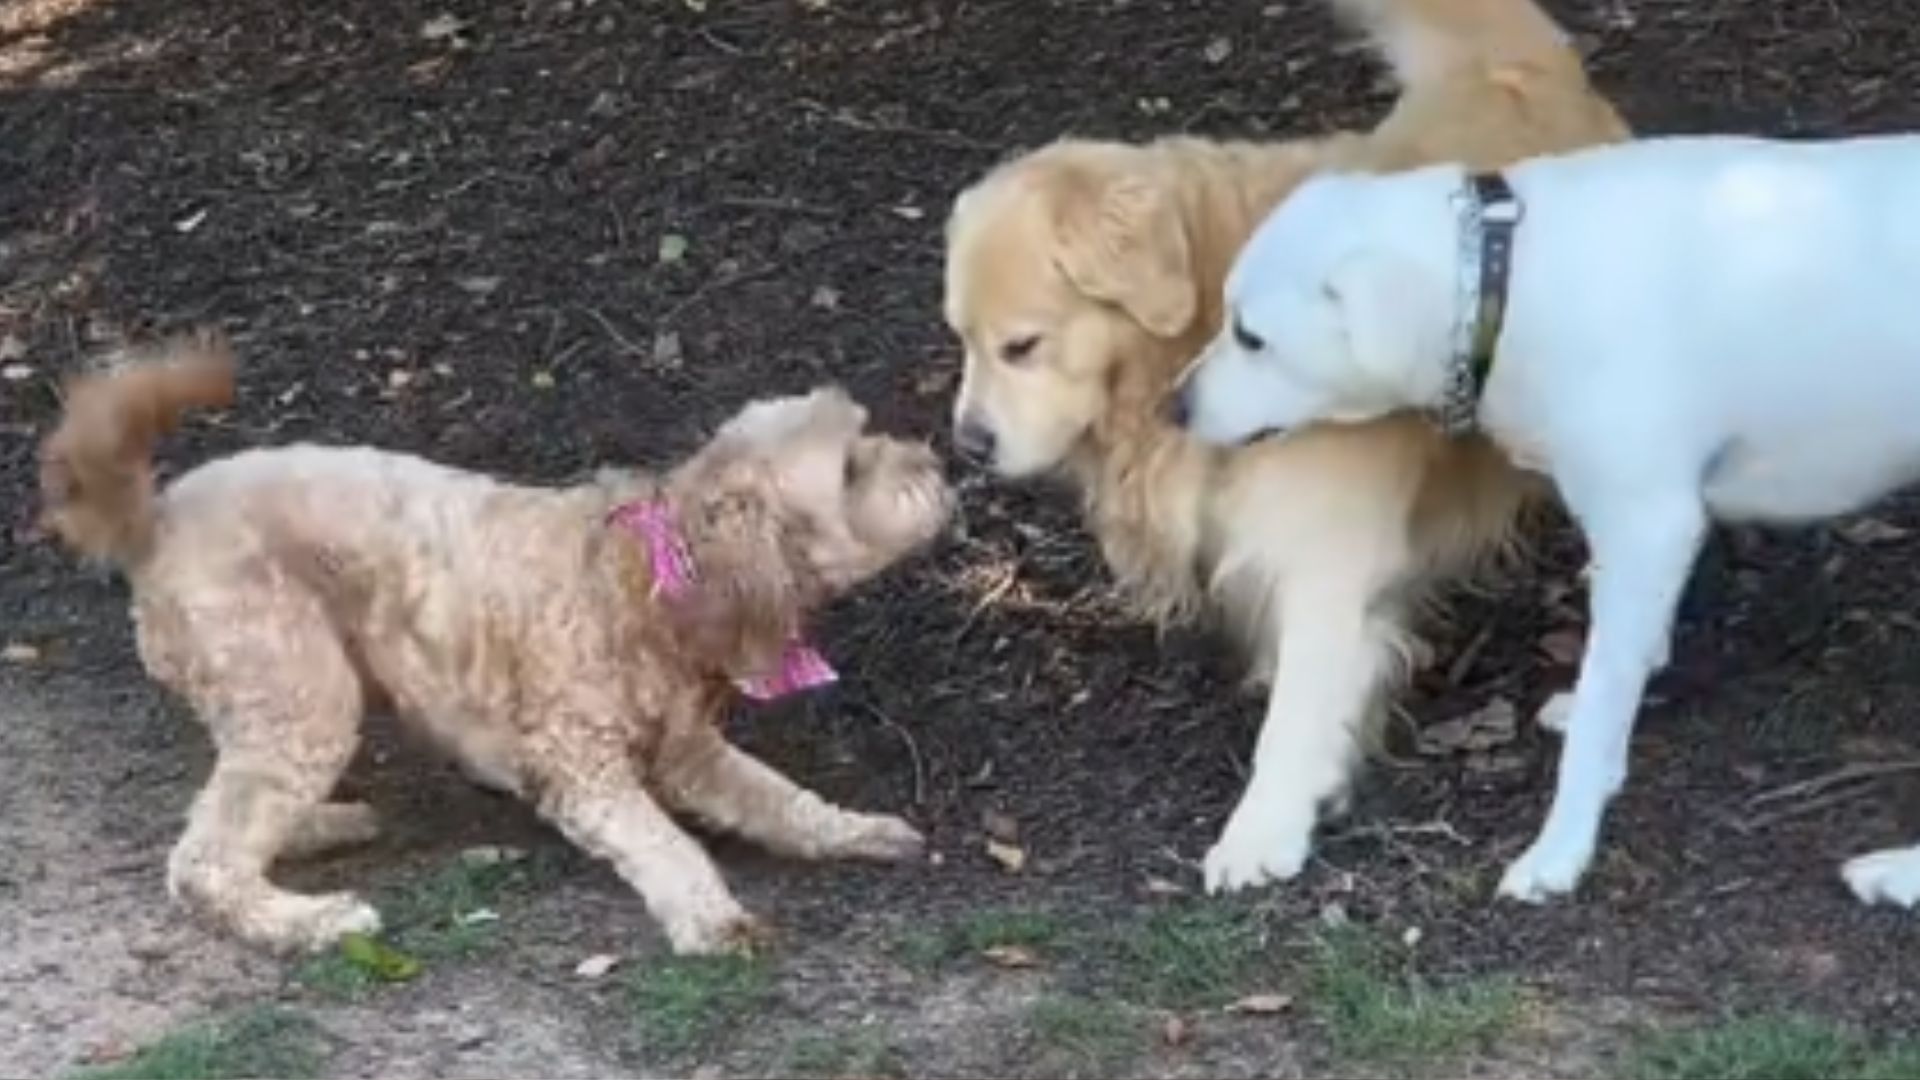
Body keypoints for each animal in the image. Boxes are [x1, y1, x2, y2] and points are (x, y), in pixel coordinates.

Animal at [1167, 136, 1920, 907]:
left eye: (1251, 337)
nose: (1175, 408)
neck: (1507, 277)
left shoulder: (1649, 523)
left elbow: (1598, 720)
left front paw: (1559, 852)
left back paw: (1899, 875)